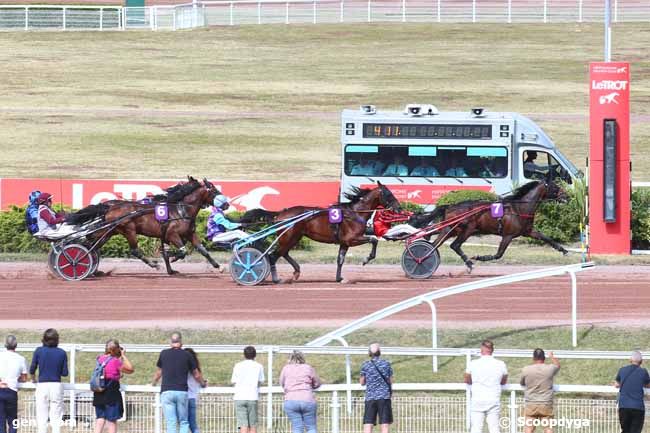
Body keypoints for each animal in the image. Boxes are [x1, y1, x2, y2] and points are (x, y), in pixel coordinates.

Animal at [67, 177, 221, 276]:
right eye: (214, 191)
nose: (224, 204)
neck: (180, 210)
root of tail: (111, 207)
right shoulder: (172, 234)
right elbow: (182, 251)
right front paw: (171, 257)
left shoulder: (189, 233)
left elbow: (202, 250)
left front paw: (218, 266)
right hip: (129, 229)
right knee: (134, 250)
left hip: (110, 231)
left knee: (93, 245)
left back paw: (93, 268)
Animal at [239, 183, 398, 282]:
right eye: (388, 194)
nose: (399, 207)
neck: (354, 213)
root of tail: (280, 214)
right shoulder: (352, 239)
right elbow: (374, 240)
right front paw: (366, 259)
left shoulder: (344, 243)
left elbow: (340, 259)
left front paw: (339, 278)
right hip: (288, 237)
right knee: (273, 256)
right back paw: (276, 279)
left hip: (294, 237)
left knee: (283, 253)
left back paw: (296, 272)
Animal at [408, 178, 564, 272]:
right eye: (555, 187)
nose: (566, 196)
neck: (519, 208)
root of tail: (450, 206)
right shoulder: (508, 235)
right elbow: (498, 254)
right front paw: (479, 257)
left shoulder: (528, 231)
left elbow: (546, 238)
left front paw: (562, 249)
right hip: (467, 229)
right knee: (454, 245)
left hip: (451, 228)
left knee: (436, 243)